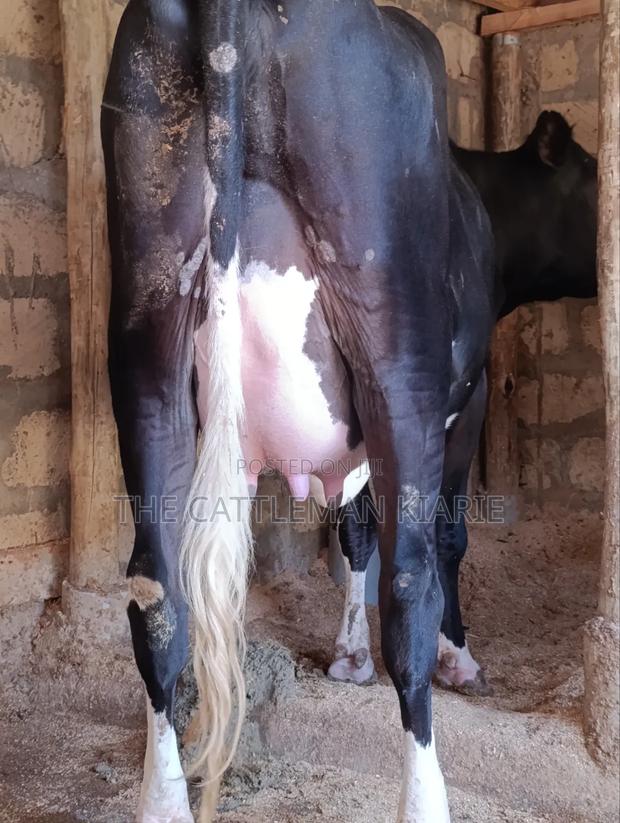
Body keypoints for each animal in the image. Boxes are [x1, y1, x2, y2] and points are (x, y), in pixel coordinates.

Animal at [102, 1, 496, 820]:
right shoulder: (470, 396)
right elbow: (440, 536)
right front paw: (458, 658)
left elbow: (351, 529)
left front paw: (346, 656)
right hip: (397, 348)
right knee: (410, 583)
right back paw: (427, 796)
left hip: (147, 323)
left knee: (155, 590)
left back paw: (163, 798)